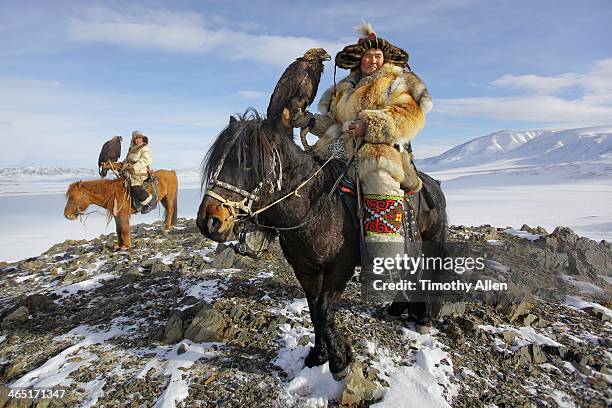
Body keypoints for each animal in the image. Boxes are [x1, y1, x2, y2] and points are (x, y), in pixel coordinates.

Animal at [198, 111, 448, 380]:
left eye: (249, 163)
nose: (209, 221)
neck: (315, 208)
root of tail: (433, 184)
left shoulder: (339, 268)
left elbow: (326, 311)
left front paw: (339, 362)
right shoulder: (305, 270)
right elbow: (314, 312)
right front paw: (318, 356)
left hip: (431, 240)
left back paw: (423, 318)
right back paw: (400, 307)